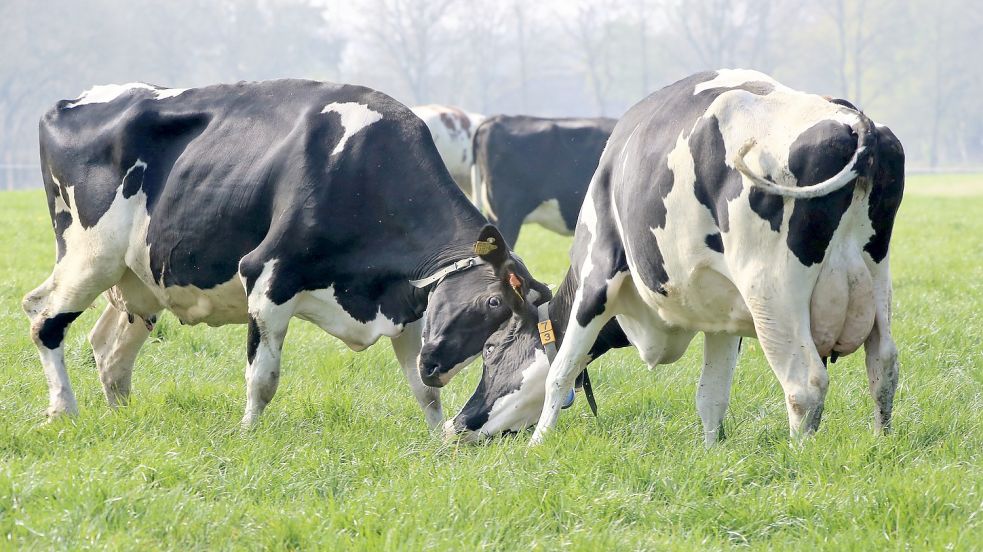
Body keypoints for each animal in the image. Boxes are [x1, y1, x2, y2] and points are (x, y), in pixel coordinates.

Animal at [25, 80, 544, 430]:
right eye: (492, 303)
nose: (436, 366)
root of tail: (71, 101)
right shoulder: (267, 278)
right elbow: (264, 378)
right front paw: (247, 434)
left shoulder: (408, 303)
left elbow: (422, 394)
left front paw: (439, 442)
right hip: (89, 257)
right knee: (42, 317)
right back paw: (64, 410)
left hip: (139, 280)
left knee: (108, 349)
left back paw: (122, 418)